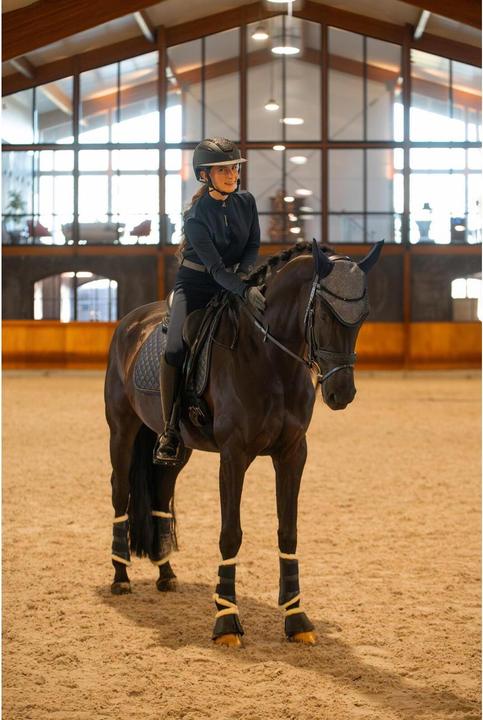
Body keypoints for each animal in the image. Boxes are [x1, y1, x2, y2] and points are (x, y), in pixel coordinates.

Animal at [105, 238, 383, 647]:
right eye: (324, 314)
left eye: (362, 317)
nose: (341, 393)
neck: (271, 360)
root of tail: (131, 322)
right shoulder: (234, 456)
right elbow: (230, 535)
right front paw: (226, 621)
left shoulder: (293, 453)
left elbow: (288, 531)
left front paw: (296, 618)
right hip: (122, 431)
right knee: (120, 494)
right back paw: (121, 576)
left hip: (174, 447)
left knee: (160, 493)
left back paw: (166, 573)